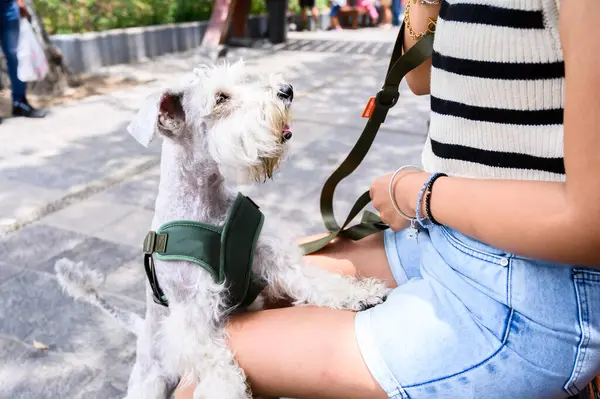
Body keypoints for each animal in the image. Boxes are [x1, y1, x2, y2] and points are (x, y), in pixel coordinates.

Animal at [56, 61, 390, 399]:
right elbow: (212, 358)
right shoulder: (192, 310)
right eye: (220, 99)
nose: (287, 90)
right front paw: (226, 387)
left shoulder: (272, 256)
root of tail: (142, 334)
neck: (209, 205)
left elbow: (313, 279)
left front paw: (359, 293)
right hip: (149, 383)